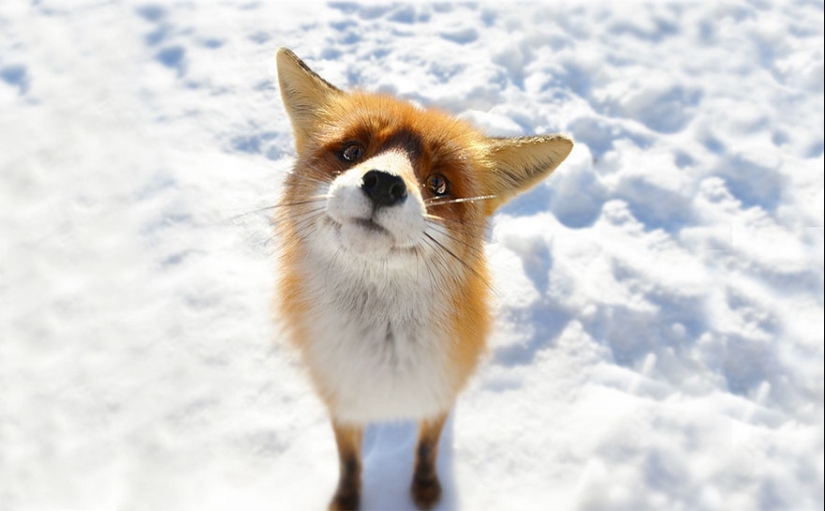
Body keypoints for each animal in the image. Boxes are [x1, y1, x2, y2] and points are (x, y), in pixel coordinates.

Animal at [274, 48, 572, 511]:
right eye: (352, 151)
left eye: (439, 183)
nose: (383, 183)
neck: (384, 355)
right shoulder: (340, 398)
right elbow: (349, 460)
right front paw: (347, 499)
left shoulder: (439, 392)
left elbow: (428, 446)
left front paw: (426, 489)